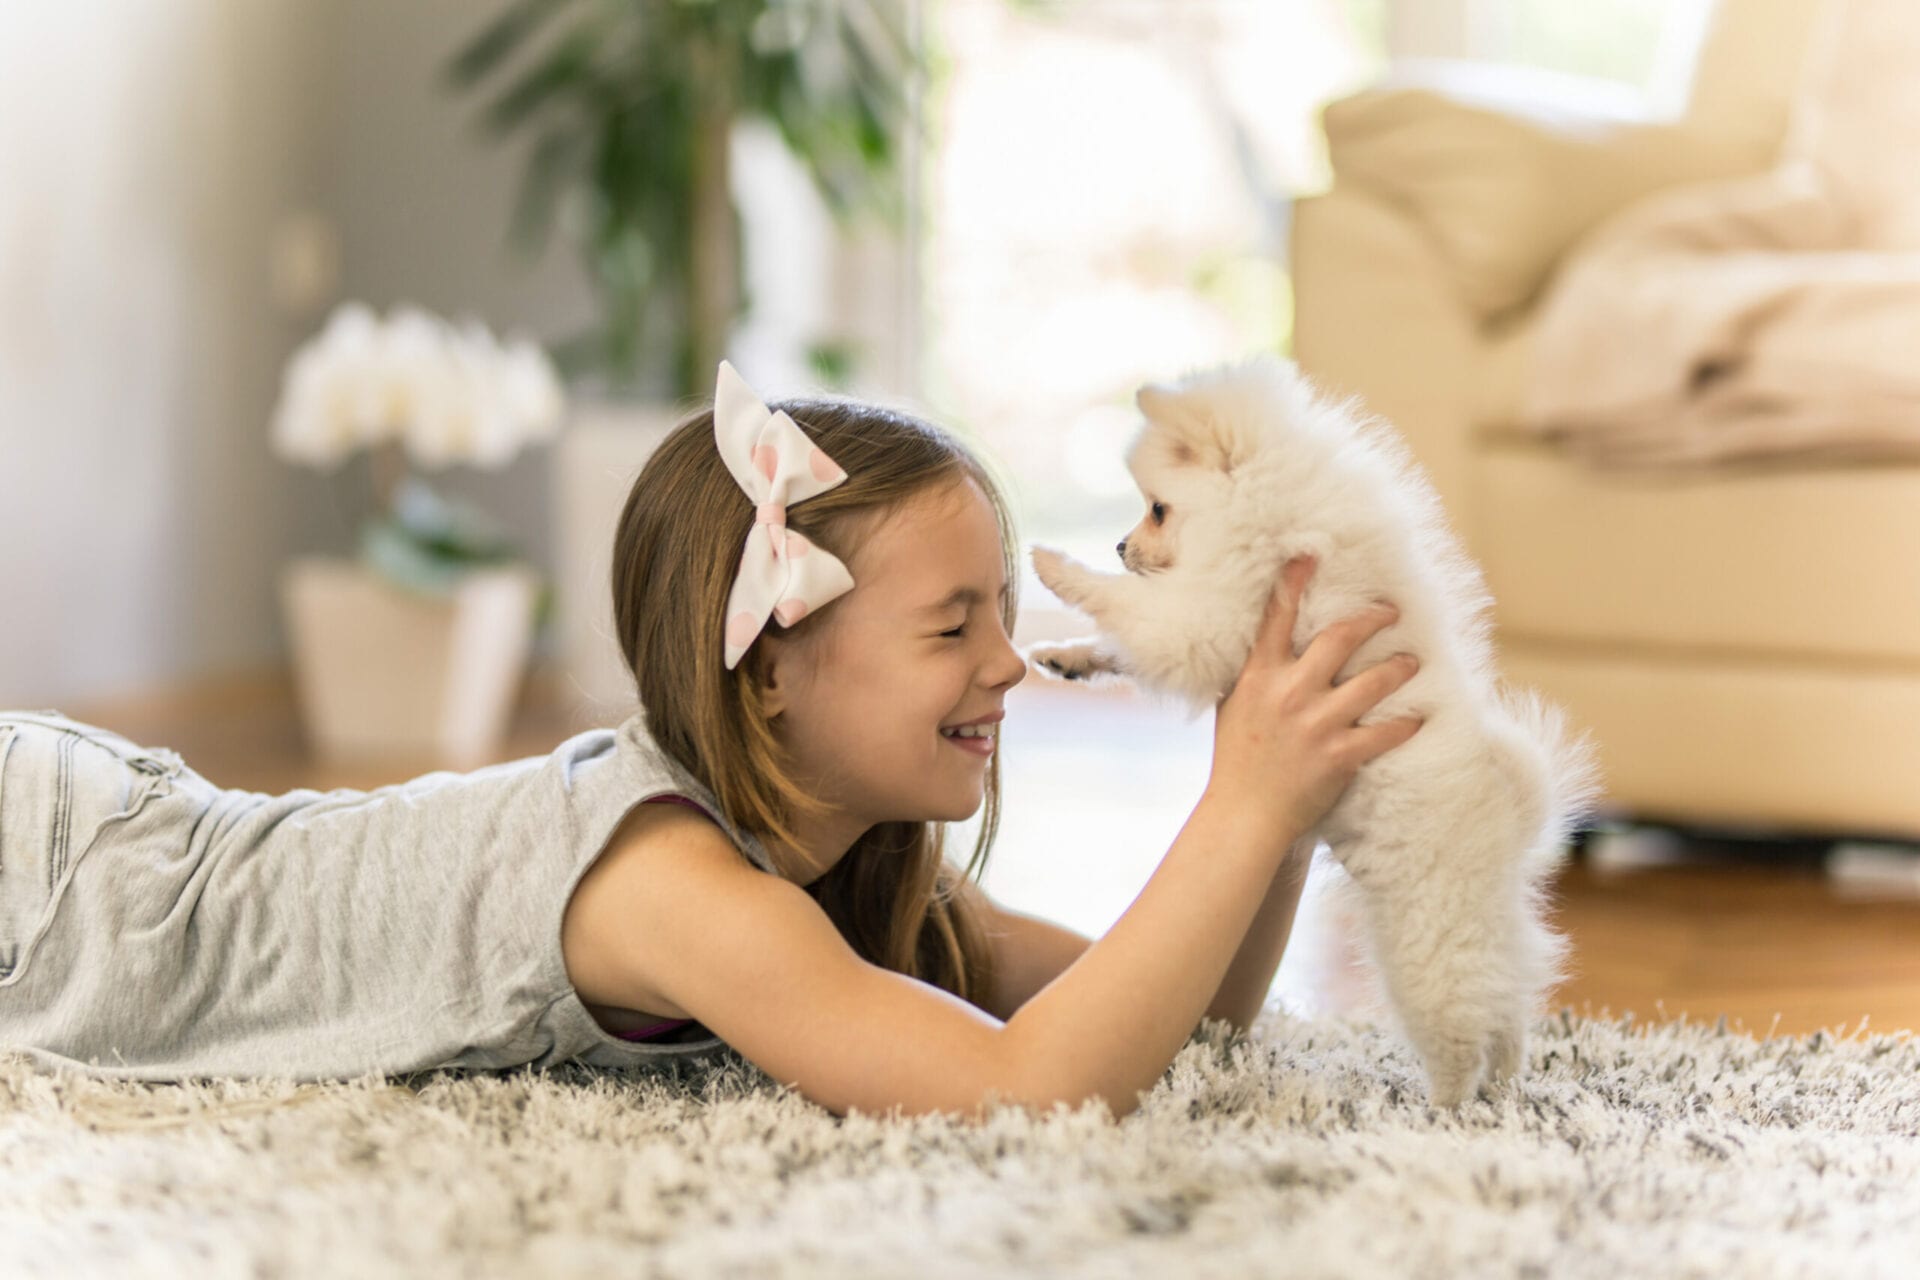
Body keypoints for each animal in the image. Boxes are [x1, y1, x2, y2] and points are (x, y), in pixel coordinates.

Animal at [1029, 353, 1597, 1113]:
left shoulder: (1214, 612)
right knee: (1508, 1013)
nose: (1120, 545)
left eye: (1157, 507)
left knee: (1461, 1025)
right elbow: (1124, 638)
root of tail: (1513, 819)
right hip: (1491, 928)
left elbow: (1134, 609)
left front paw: (1053, 564)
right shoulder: (1213, 620)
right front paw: (1066, 656)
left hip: (1425, 935)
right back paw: (1502, 1090)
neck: (1264, 507)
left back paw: (1443, 1108)